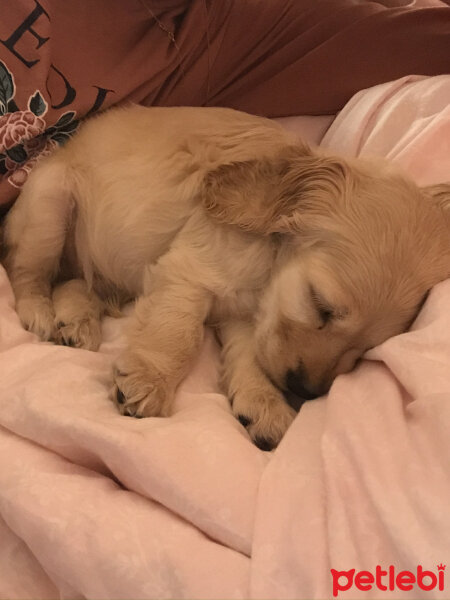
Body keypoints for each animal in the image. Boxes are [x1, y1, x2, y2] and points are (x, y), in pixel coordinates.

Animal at [3, 105, 450, 448]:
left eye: (367, 347)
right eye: (320, 305)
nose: (306, 391)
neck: (267, 274)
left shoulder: (245, 317)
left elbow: (250, 358)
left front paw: (264, 405)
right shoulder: (189, 274)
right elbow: (178, 336)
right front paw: (151, 380)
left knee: (74, 282)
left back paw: (77, 322)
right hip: (49, 205)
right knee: (29, 274)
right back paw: (41, 314)